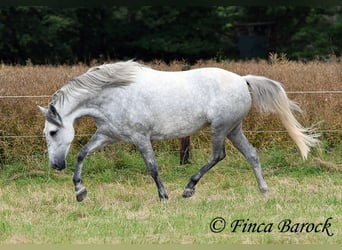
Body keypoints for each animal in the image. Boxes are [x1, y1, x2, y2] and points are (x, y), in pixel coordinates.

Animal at [38, 61, 320, 202]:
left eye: (52, 132)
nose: (56, 165)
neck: (113, 93)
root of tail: (242, 80)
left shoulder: (140, 137)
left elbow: (152, 167)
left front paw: (164, 196)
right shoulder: (109, 135)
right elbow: (82, 154)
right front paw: (80, 192)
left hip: (220, 128)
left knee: (218, 156)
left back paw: (188, 189)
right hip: (233, 129)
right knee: (251, 154)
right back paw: (264, 192)